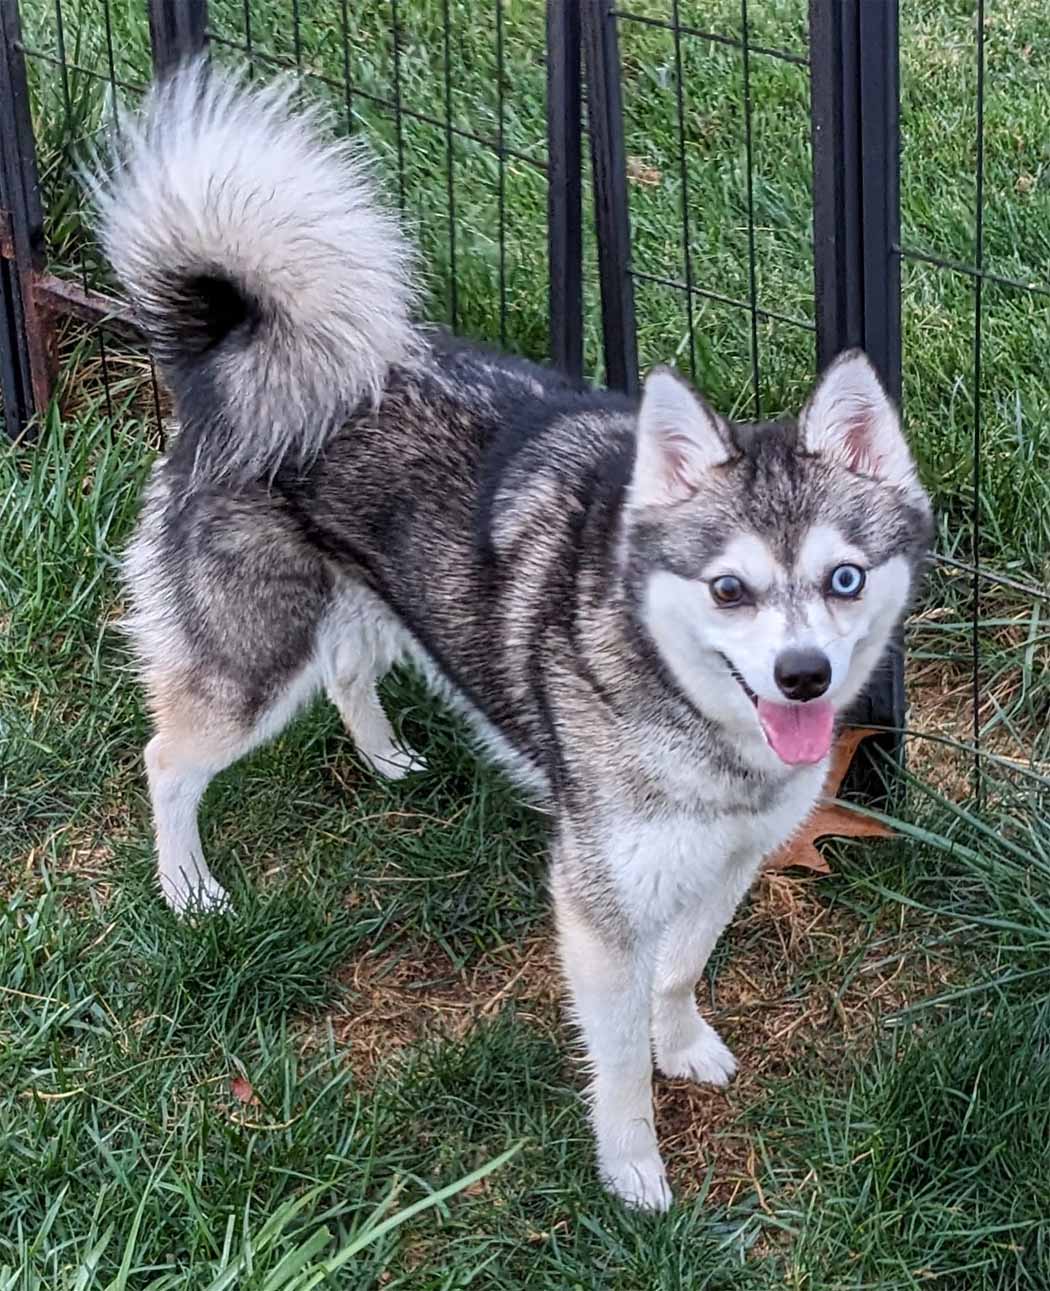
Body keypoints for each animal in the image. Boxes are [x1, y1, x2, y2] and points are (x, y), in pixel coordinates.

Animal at [91, 62, 933, 1209]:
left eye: (844, 579)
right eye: (728, 589)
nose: (803, 677)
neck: (681, 702)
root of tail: (225, 354)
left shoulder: (730, 859)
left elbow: (682, 968)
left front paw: (684, 1043)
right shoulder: (598, 903)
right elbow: (614, 1059)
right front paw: (632, 1172)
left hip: (376, 599)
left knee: (348, 672)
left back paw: (386, 756)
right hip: (252, 659)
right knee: (167, 757)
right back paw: (188, 886)